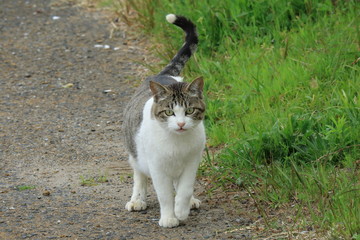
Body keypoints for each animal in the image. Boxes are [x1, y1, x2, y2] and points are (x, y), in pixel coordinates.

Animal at [122, 14, 205, 228]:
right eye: (169, 112)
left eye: (189, 110)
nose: (181, 124)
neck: (176, 143)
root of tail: (163, 75)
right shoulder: (157, 167)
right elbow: (165, 194)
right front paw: (169, 217)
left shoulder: (192, 161)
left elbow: (184, 189)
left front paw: (181, 209)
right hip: (135, 151)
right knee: (139, 173)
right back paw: (137, 199)